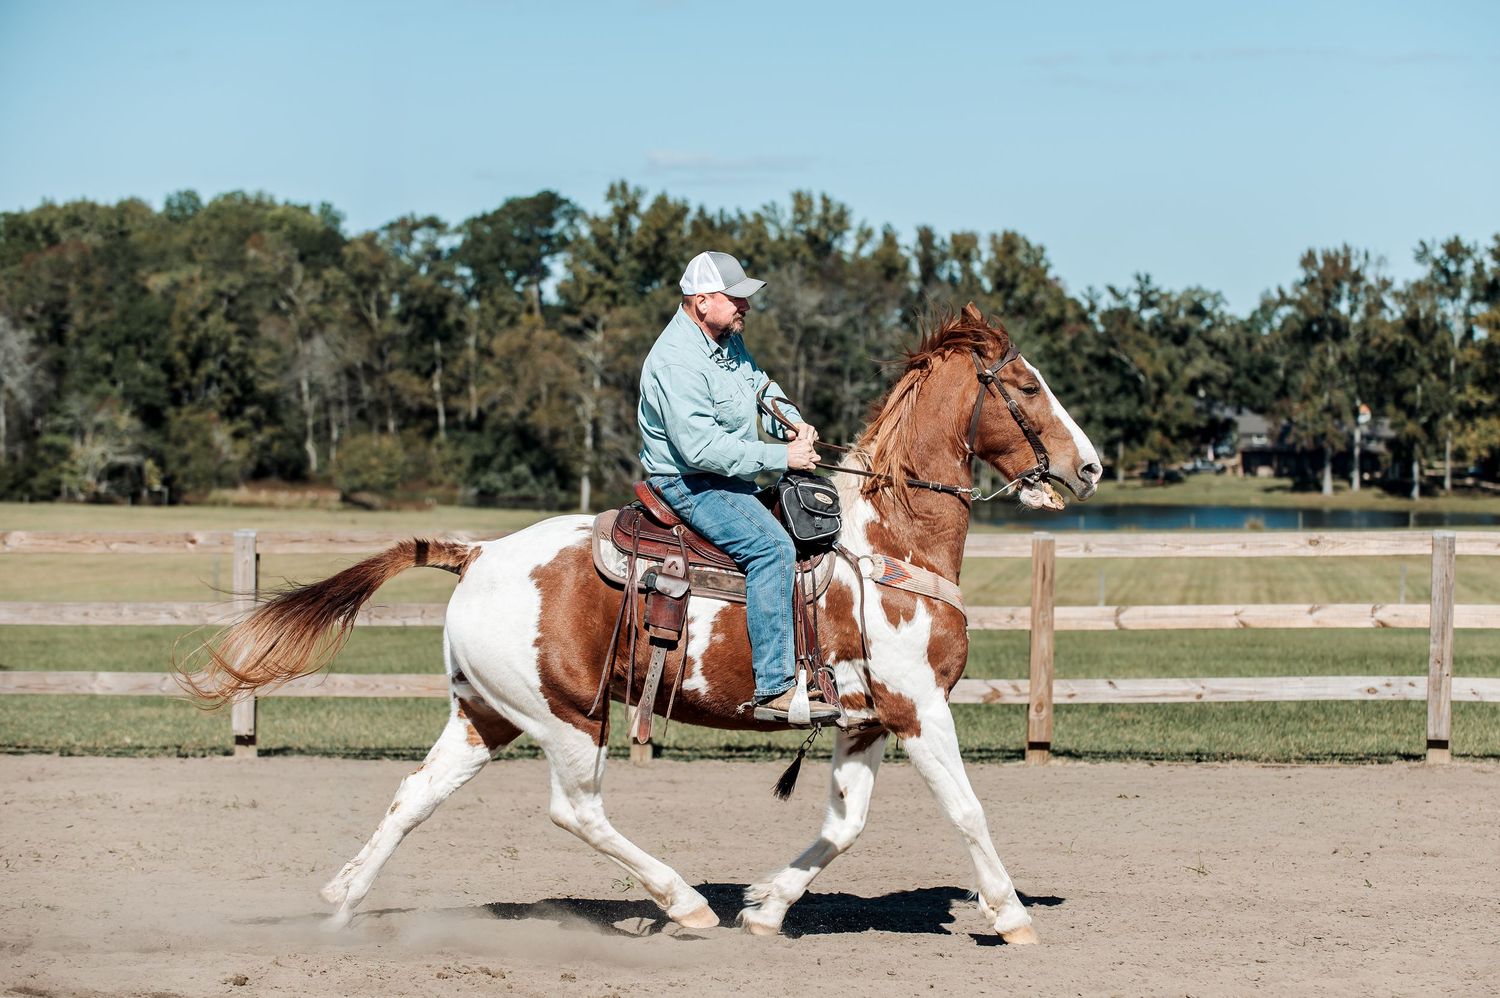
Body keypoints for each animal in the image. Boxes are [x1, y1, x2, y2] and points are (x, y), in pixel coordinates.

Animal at [180, 302, 1102, 945]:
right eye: (1026, 385)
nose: (1089, 466)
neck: (885, 540)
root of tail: (476, 554)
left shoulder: (867, 719)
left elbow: (844, 824)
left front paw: (766, 907)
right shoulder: (917, 708)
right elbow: (968, 810)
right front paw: (1012, 916)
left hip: (484, 715)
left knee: (417, 795)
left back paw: (342, 901)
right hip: (565, 716)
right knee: (576, 810)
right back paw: (683, 902)